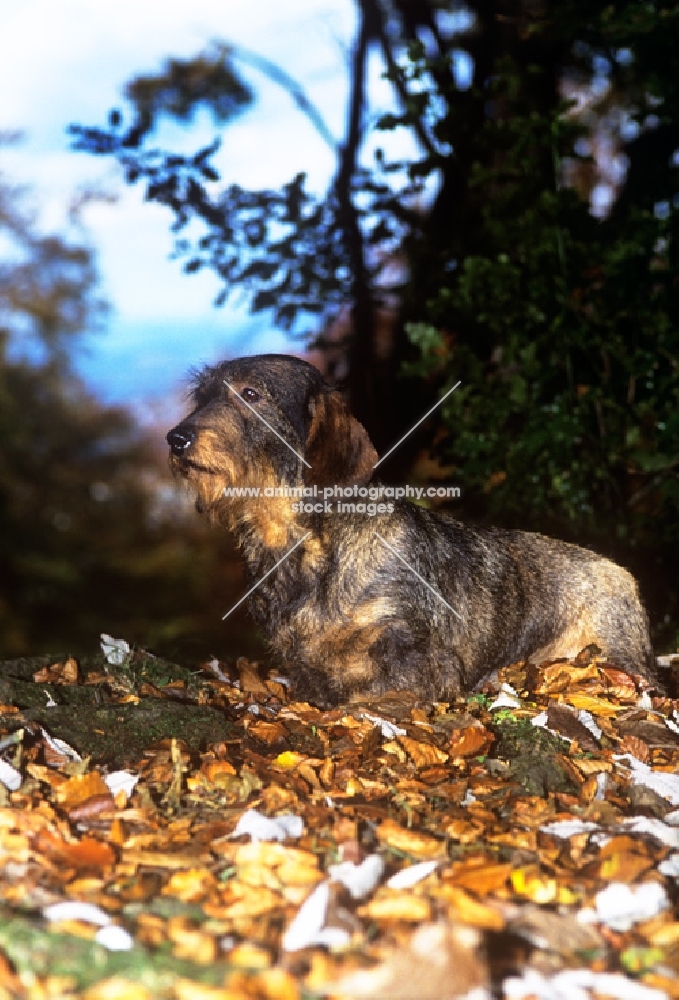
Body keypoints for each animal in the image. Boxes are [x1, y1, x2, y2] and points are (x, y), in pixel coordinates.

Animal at [167, 356, 660, 708]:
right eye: (202, 396)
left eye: (251, 393)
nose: (175, 439)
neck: (304, 548)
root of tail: (623, 572)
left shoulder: (417, 659)